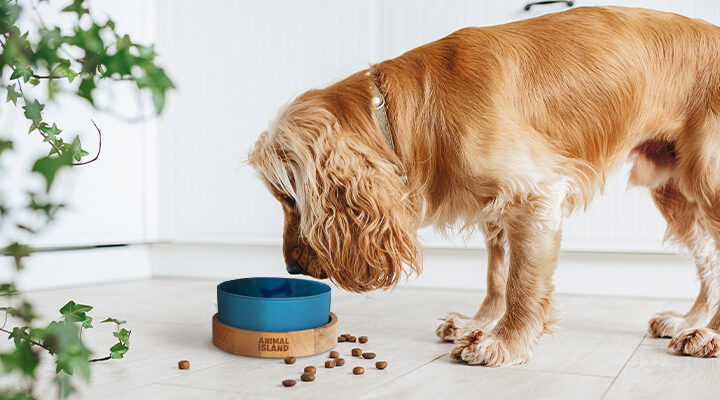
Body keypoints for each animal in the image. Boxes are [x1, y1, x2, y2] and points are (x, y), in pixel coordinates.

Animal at [248, 5, 720, 366]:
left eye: (291, 198)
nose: (290, 267)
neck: (398, 112)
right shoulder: (498, 208)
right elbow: (498, 276)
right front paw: (479, 323)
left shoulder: (533, 195)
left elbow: (522, 283)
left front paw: (503, 342)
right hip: (674, 192)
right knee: (710, 262)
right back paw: (689, 322)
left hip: (709, 180)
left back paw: (708, 335)